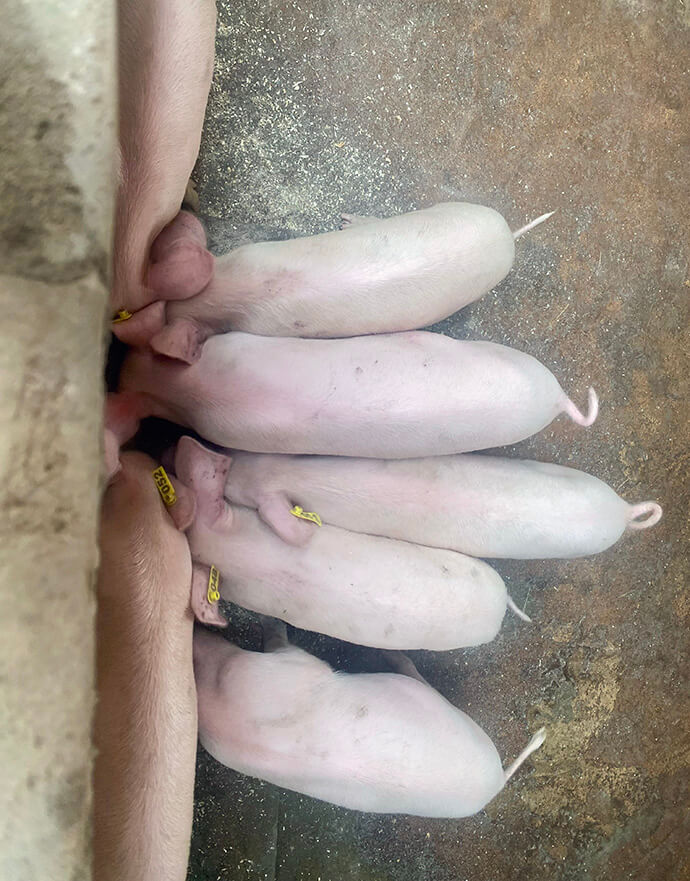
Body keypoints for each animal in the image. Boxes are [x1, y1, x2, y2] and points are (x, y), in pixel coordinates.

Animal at [193, 622, 546, 817]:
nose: (198, 629)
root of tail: (493, 782)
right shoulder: (293, 667)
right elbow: (279, 641)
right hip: (428, 700)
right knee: (417, 679)